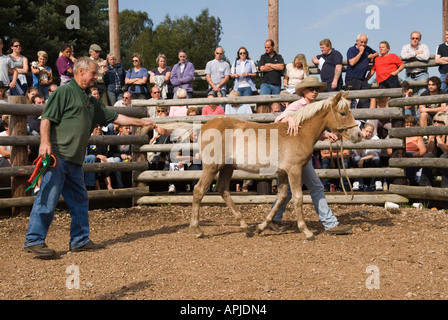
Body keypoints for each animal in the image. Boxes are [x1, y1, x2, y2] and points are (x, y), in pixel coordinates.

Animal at [191, 90, 362, 240]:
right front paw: (306, 232)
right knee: (199, 190)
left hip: (227, 168)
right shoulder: (294, 170)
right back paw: (197, 230)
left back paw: (245, 227)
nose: (359, 135)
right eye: (343, 113)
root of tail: (204, 127)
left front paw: (261, 227)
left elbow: (281, 197)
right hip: (212, 167)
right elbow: (298, 198)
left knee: (223, 189)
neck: (299, 133)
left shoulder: (283, 172)